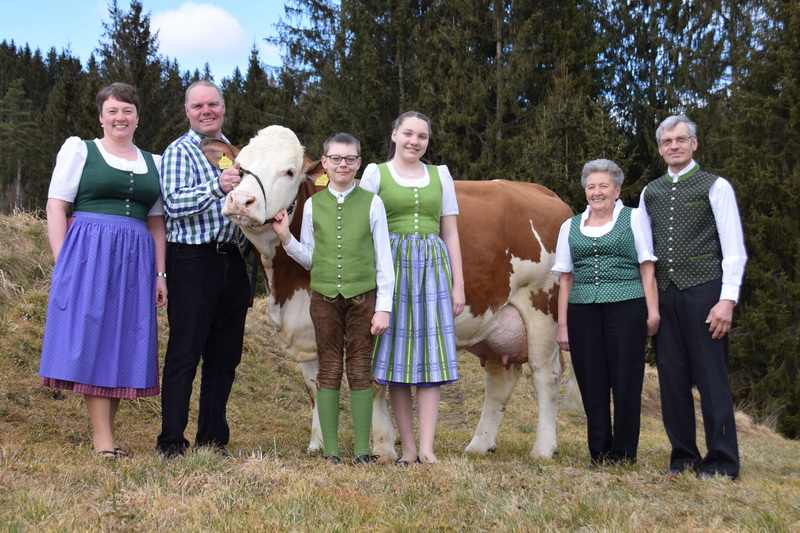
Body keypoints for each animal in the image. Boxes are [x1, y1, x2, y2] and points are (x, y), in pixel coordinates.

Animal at [219, 124, 576, 458]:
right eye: (239, 167)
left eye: (290, 171)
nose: (240, 201)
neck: (286, 284)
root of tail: (543, 192)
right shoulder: (310, 322)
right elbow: (315, 383)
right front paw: (318, 445)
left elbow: (374, 383)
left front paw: (382, 446)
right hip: (497, 322)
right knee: (500, 379)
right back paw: (479, 444)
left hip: (541, 304)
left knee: (546, 375)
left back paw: (543, 448)